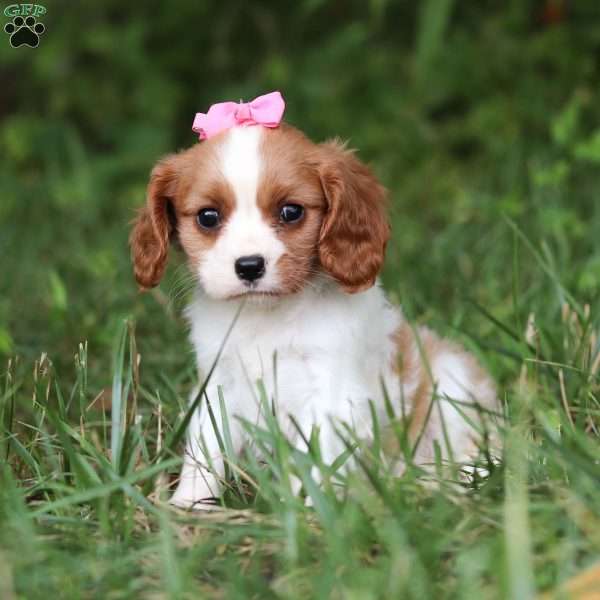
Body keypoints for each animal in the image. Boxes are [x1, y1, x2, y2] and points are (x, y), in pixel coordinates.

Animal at [130, 91, 496, 508]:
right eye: (208, 217)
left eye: (291, 212)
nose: (249, 266)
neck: (269, 316)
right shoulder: (218, 383)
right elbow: (206, 447)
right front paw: (189, 506)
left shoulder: (332, 396)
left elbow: (314, 459)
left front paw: (308, 512)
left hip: (452, 382)